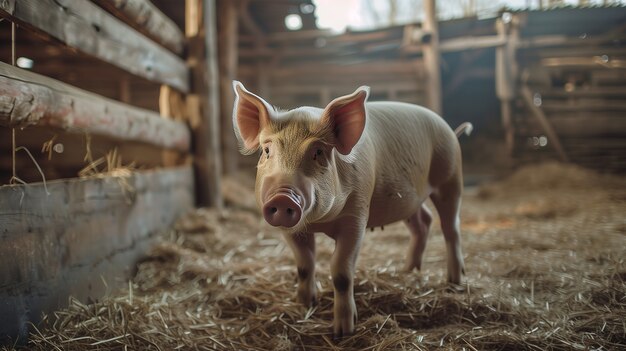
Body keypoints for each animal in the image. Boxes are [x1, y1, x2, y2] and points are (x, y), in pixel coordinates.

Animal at [232, 81, 470, 336]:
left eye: (318, 152)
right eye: (267, 151)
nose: (282, 197)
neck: (318, 222)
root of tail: (448, 129)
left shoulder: (356, 218)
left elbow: (341, 272)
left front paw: (343, 330)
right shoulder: (292, 230)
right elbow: (304, 264)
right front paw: (305, 303)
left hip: (451, 178)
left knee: (451, 228)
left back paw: (454, 281)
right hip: (410, 199)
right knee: (423, 222)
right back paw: (408, 271)